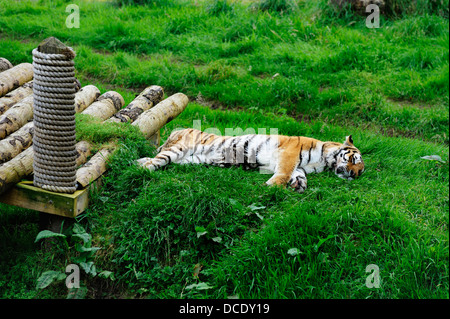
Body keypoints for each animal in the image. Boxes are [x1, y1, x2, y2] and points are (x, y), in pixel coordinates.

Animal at [135, 129, 364, 194]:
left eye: (360, 172)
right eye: (353, 159)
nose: (354, 174)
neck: (325, 161)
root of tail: (175, 131)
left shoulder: (298, 166)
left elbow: (297, 174)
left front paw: (299, 185)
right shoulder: (289, 155)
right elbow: (283, 174)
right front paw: (271, 186)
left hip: (188, 160)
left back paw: (139, 161)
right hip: (178, 149)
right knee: (157, 160)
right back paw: (143, 168)